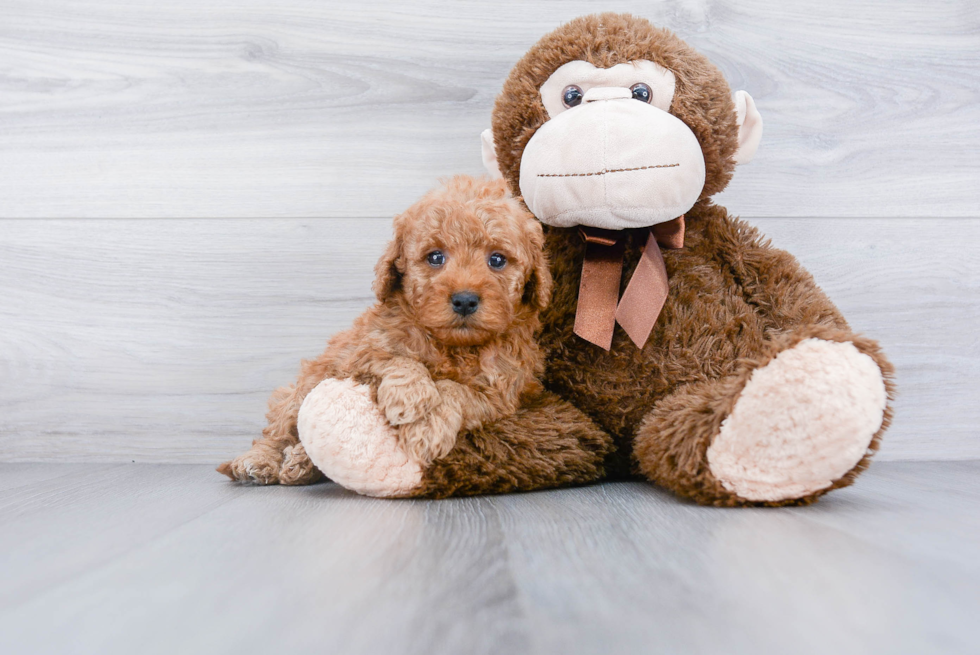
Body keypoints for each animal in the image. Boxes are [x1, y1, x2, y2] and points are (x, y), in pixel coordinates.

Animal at [220, 177, 552, 484]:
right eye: (435, 257)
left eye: (497, 260)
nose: (465, 300)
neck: (453, 346)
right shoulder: (359, 354)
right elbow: (398, 359)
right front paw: (411, 401)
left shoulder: (500, 394)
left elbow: (455, 390)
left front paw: (426, 429)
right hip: (304, 385)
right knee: (278, 430)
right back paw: (259, 461)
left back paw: (300, 462)